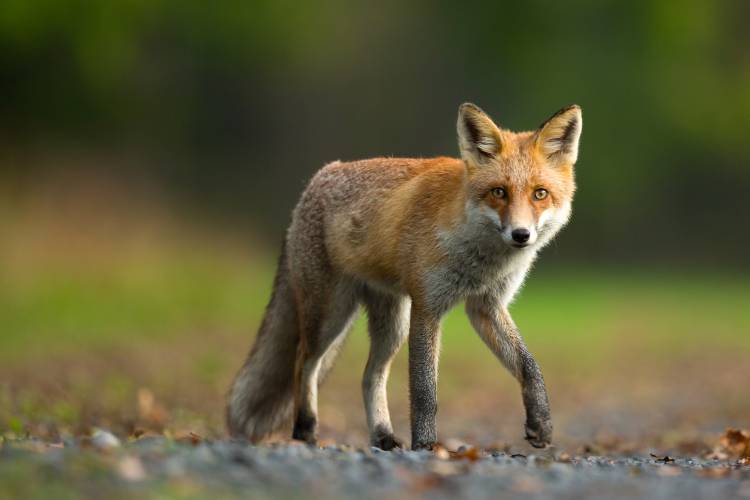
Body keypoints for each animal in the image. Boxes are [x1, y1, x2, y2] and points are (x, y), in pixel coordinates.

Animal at [226, 101, 584, 450]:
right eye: (499, 192)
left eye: (540, 194)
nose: (521, 235)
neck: (478, 258)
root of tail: (318, 177)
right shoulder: (427, 305)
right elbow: (425, 391)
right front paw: (425, 445)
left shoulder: (485, 306)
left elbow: (529, 366)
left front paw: (541, 423)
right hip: (329, 314)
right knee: (303, 362)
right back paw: (306, 430)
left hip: (391, 324)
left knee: (369, 375)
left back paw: (382, 435)